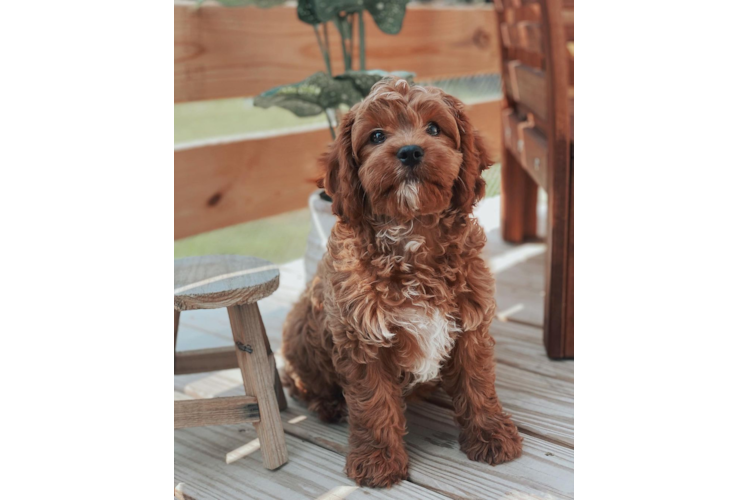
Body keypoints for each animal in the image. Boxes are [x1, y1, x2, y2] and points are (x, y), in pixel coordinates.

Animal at [284, 79, 524, 488]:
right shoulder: (361, 337)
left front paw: (490, 433)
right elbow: (373, 402)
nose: (410, 151)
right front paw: (377, 459)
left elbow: (477, 384)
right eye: (377, 136)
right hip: (301, 329)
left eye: (434, 128)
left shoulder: (470, 322)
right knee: (299, 381)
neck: (411, 234)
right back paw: (327, 403)